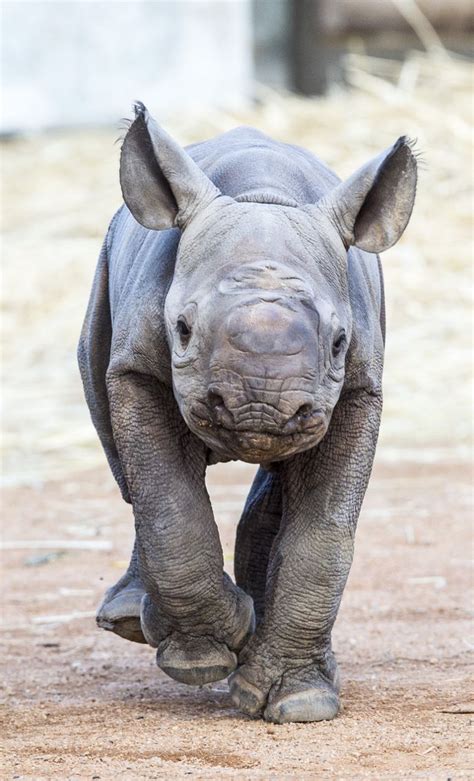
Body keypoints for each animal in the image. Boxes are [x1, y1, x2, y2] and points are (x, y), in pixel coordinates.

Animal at [79, 105, 416, 724]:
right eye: (182, 329)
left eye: (339, 342)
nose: (260, 408)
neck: (266, 198)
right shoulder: (138, 367)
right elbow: (167, 499)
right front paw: (201, 659)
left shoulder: (357, 387)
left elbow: (325, 530)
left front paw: (302, 703)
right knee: (128, 469)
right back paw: (137, 622)